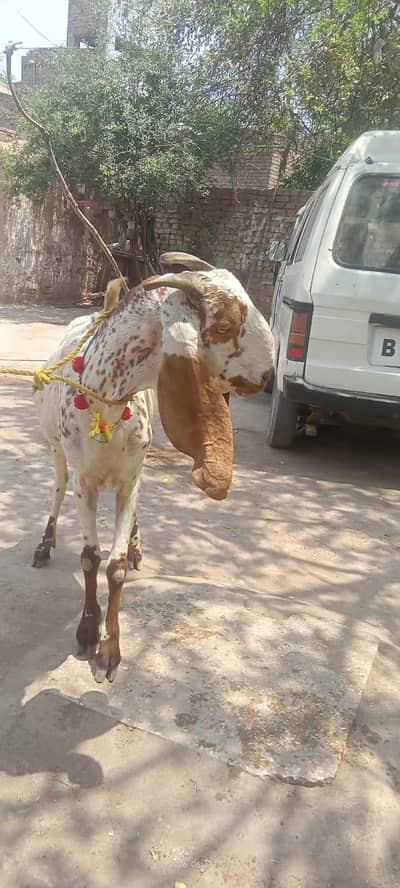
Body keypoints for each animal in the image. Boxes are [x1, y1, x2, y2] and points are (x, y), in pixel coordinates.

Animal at [33, 253, 275, 683]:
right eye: (224, 325)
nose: (268, 374)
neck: (105, 401)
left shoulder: (129, 480)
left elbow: (115, 567)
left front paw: (109, 649)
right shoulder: (85, 483)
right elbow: (90, 558)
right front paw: (87, 630)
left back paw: (136, 544)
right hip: (57, 454)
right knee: (56, 491)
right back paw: (45, 543)